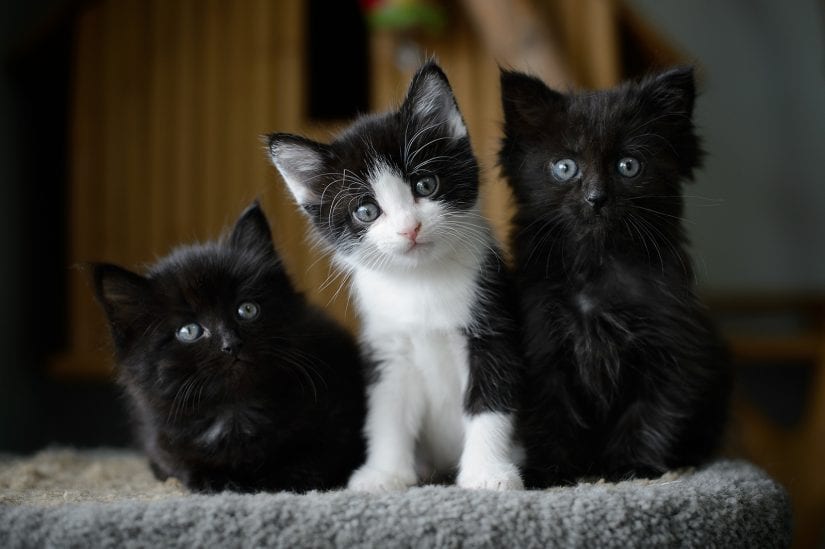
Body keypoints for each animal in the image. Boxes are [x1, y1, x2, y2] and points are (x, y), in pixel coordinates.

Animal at [90, 202, 364, 492]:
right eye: (189, 331)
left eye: (246, 310)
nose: (230, 344)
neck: (236, 412)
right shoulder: (159, 442)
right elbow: (182, 466)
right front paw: (217, 481)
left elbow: (311, 462)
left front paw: (274, 480)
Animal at [268, 62, 520, 490]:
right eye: (366, 211)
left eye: (425, 184)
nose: (410, 228)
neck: (421, 283)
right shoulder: (387, 345)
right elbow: (387, 412)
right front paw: (384, 473)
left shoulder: (492, 324)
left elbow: (490, 399)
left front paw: (488, 472)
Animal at [498, 67, 732, 484]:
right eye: (564, 167)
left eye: (628, 166)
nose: (596, 198)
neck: (597, 270)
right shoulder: (541, 347)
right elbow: (549, 414)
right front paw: (550, 474)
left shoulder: (673, 346)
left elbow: (651, 412)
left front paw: (631, 468)